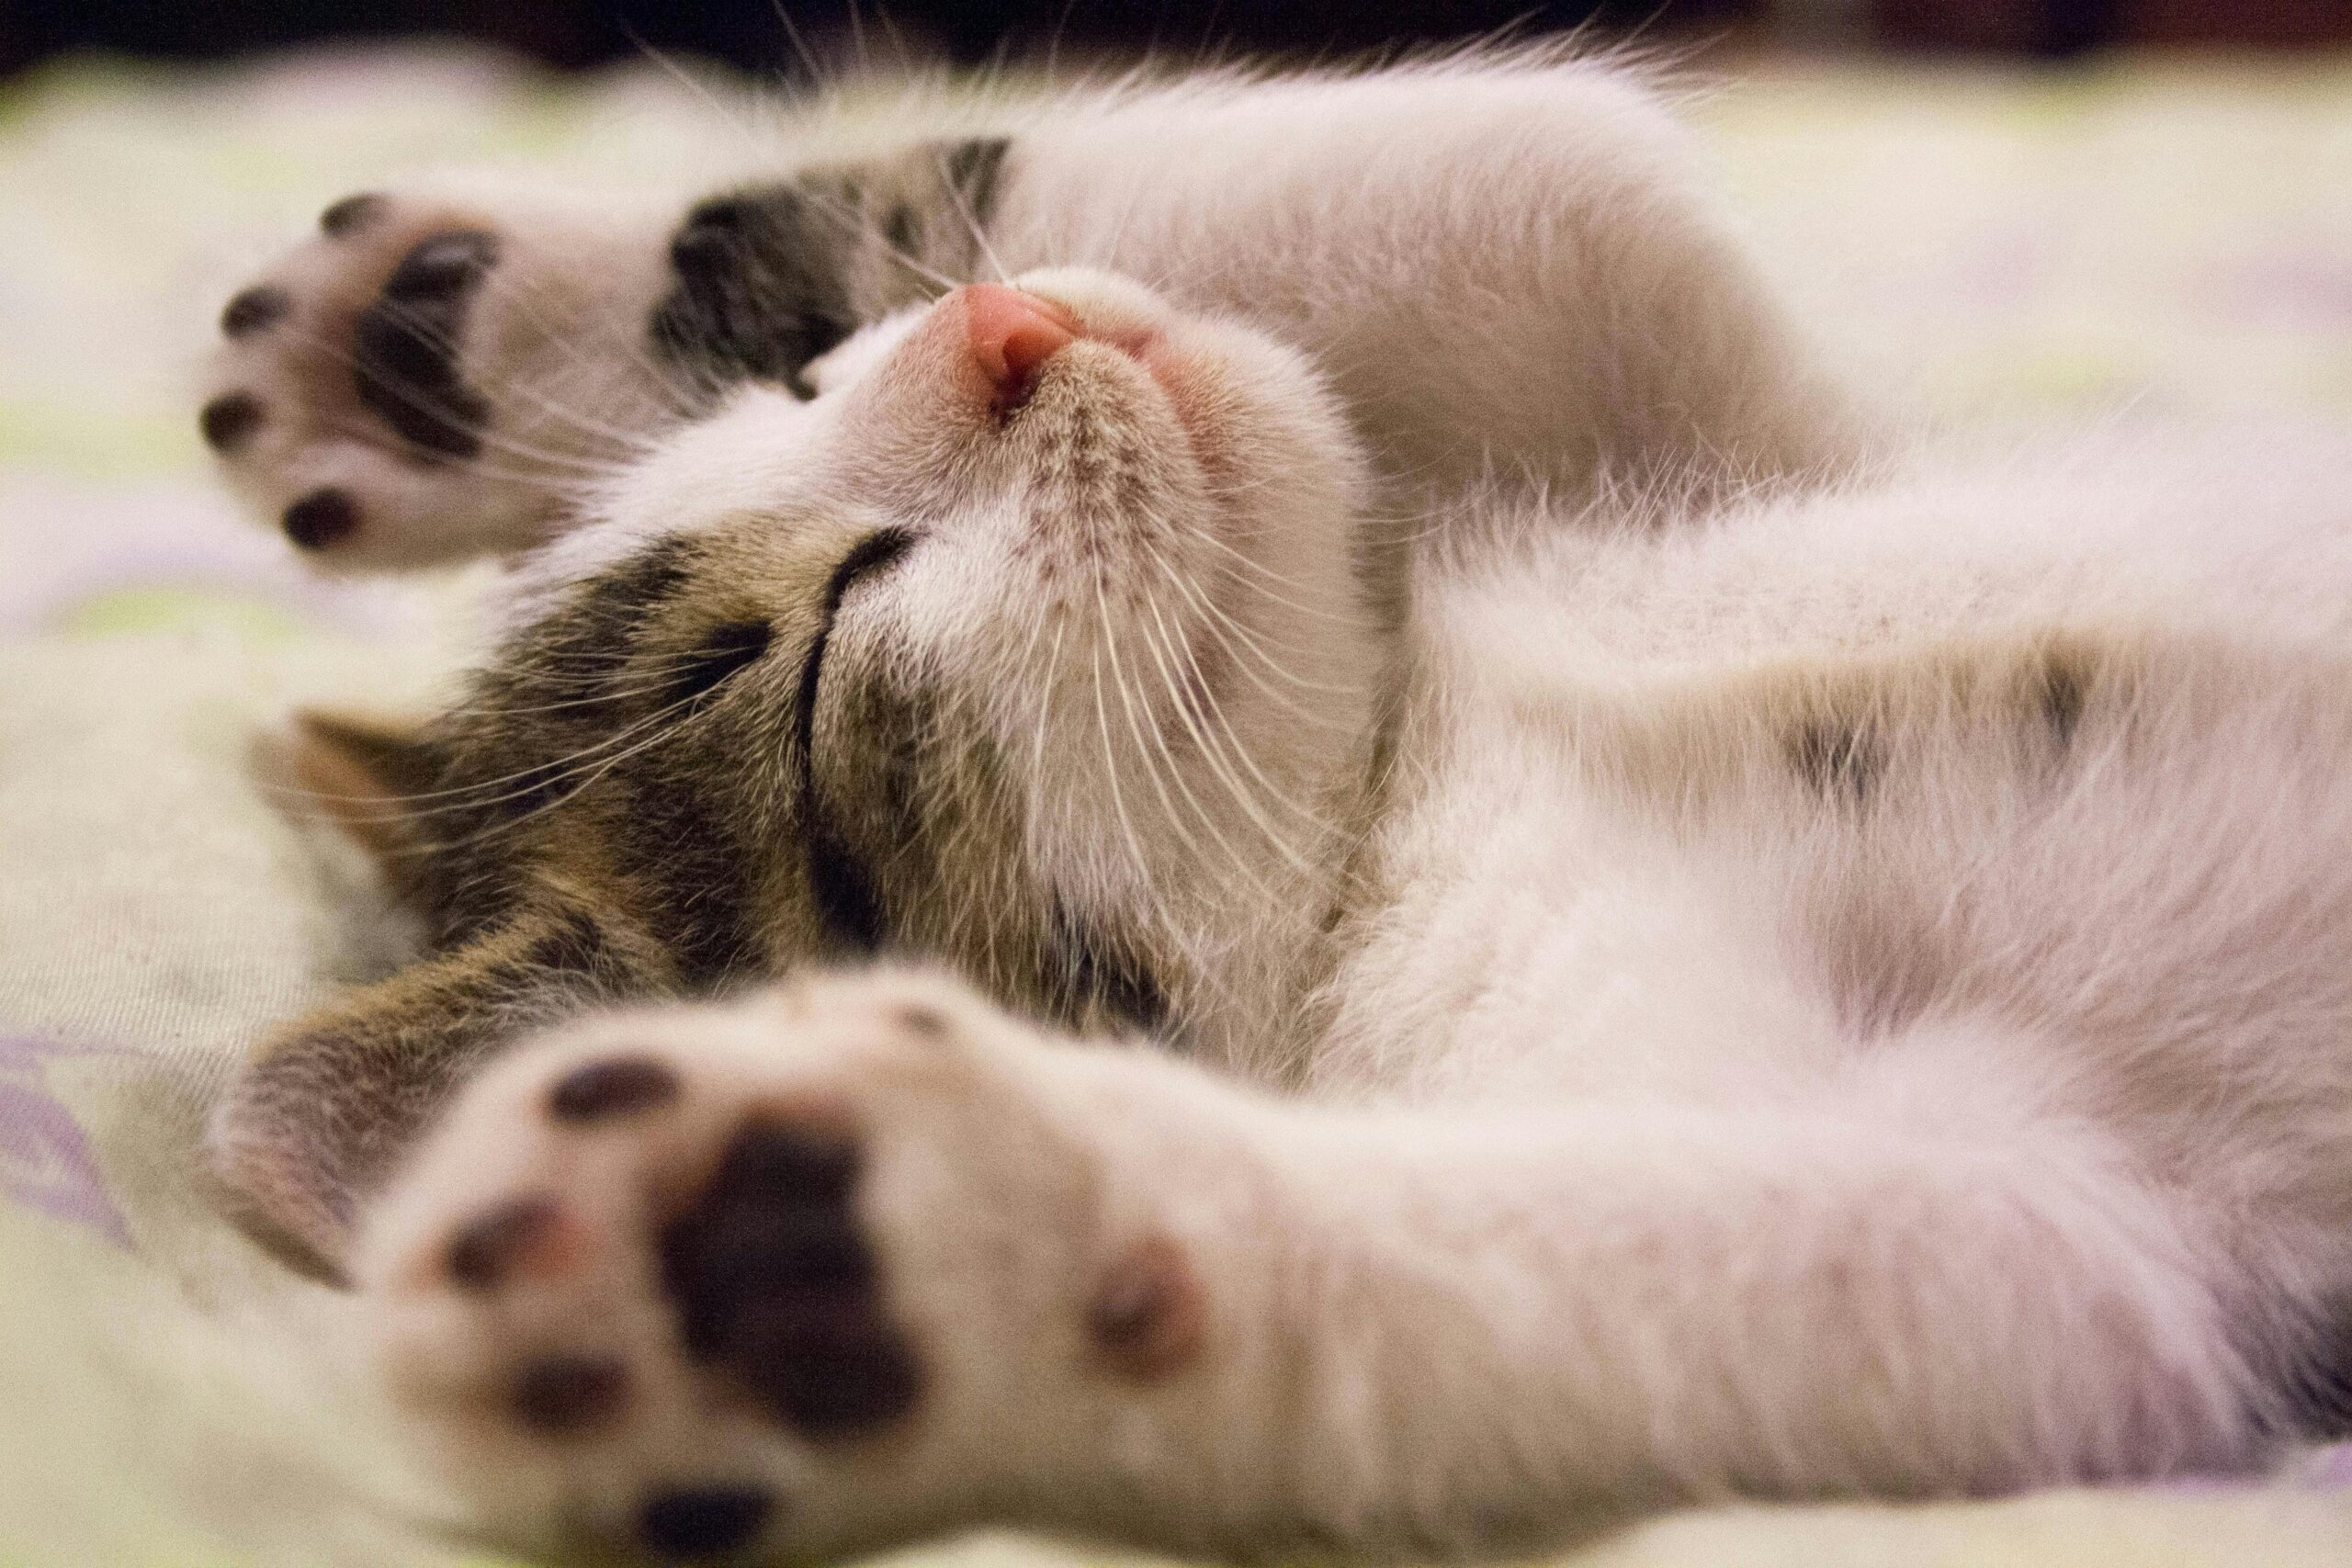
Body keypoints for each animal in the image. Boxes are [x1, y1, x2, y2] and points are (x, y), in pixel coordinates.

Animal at [198, 42, 2352, 1561]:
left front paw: (446, 332)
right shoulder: (2130, 1251)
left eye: (804, 389)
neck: (1410, 766)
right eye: (807, 664)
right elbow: (1910, 1259)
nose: (1008, 330)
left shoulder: (1770, 439)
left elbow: (1559, 180)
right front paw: (853, 1248)